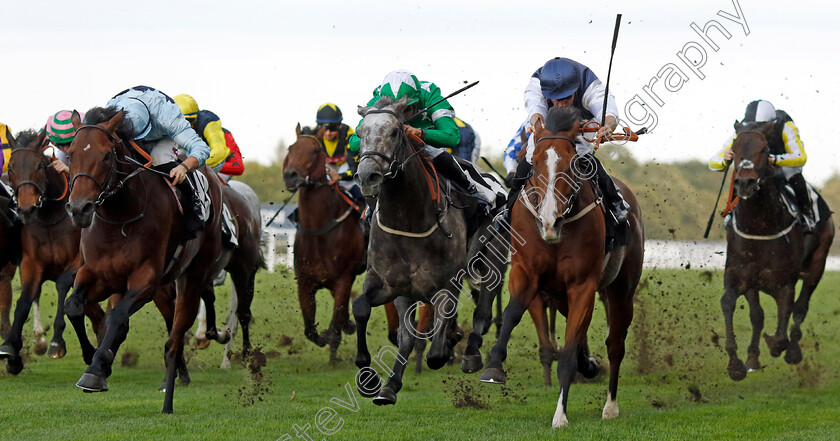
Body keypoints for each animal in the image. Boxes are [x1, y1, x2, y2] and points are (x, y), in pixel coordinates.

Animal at [0, 127, 110, 372]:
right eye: (11, 167)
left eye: (40, 165)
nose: (26, 210)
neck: (50, 218)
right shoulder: (30, 263)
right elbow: (24, 301)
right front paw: (11, 350)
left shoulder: (77, 262)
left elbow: (61, 286)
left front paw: (56, 342)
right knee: (96, 315)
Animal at [62, 107, 233, 412]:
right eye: (70, 154)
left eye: (106, 155)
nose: (79, 208)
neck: (120, 218)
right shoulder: (96, 274)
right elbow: (73, 306)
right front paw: (94, 358)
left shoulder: (146, 280)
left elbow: (118, 317)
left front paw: (95, 371)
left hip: (190, 278)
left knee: (174, 341)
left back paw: (168, 399)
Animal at [284, 124, 398, 364]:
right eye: (291, 148)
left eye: (314, 151)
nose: (290, 176)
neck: (321, 232)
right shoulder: (305, 282)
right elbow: (310, 329)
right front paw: (333, 333)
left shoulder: (344, 279)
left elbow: (337, 320)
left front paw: (335, 347)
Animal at [480, 106, 644, 426]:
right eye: (533, 165)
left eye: (573, 164)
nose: (549, 221)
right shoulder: (526, 273)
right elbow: (512, 313)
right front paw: (493, 367)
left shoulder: (583, 286)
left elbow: (568, 355)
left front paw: (560, 416)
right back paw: (589, 365)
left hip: (621, 289)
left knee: (615, 343)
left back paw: (610, 406)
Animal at [720, 120, 832, 378]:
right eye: (734, 148)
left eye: (764, 149)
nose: (745, 182)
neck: (760, 226)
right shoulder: (741, 276)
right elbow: (733, 305)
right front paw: (737, 363)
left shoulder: (784, 284)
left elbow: (782, 329)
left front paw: (776, 345)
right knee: (759, 315)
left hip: (818, 264)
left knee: (801, 307)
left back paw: (793, 352)